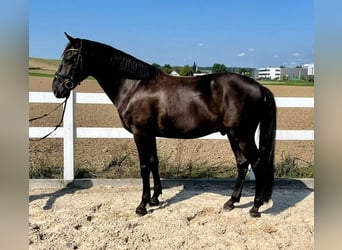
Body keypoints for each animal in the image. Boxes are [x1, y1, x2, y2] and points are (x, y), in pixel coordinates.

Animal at [54, 32, 278, 217]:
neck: (134, 86)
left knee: (257, 163)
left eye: (70, 58)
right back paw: (231, 202)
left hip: (242, 135)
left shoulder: (140, 133)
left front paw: (142, 206)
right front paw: (154, 199)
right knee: (242, 163)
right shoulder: (150, 134)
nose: (57, 88)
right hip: (233, 134)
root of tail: (260, 87)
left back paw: (255, 207)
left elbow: (144, 165)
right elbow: (154, 162)